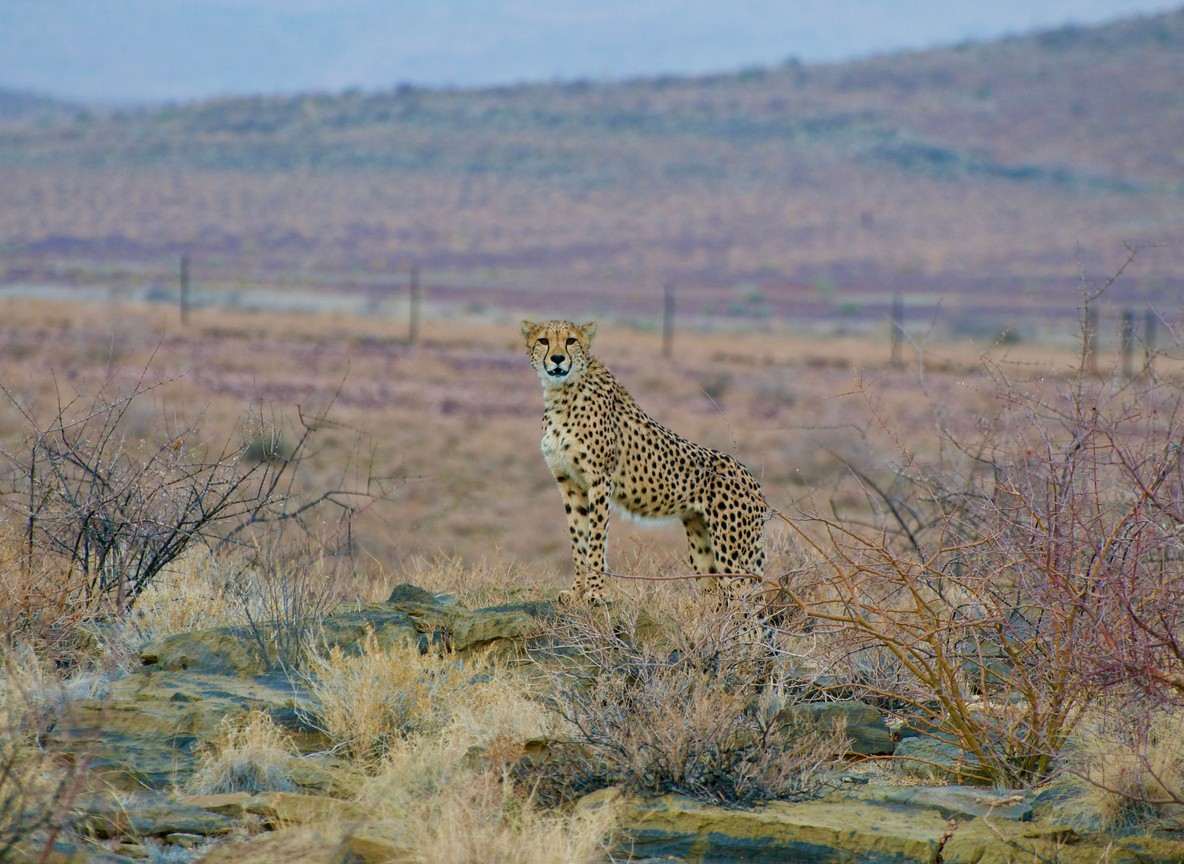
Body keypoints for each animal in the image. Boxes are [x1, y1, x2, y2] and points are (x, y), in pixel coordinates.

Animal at [520, 319, 766, 606]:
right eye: (543, 341)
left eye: (571, 341)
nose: (558, 359)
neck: (562, 393)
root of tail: (751, 477)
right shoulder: (569, 482)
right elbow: (578, 539)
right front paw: (577, 591)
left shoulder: (600, 480)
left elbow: (596, 538)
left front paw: (595, 593)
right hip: (702, 541)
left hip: (733, 550)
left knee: (749, 606)